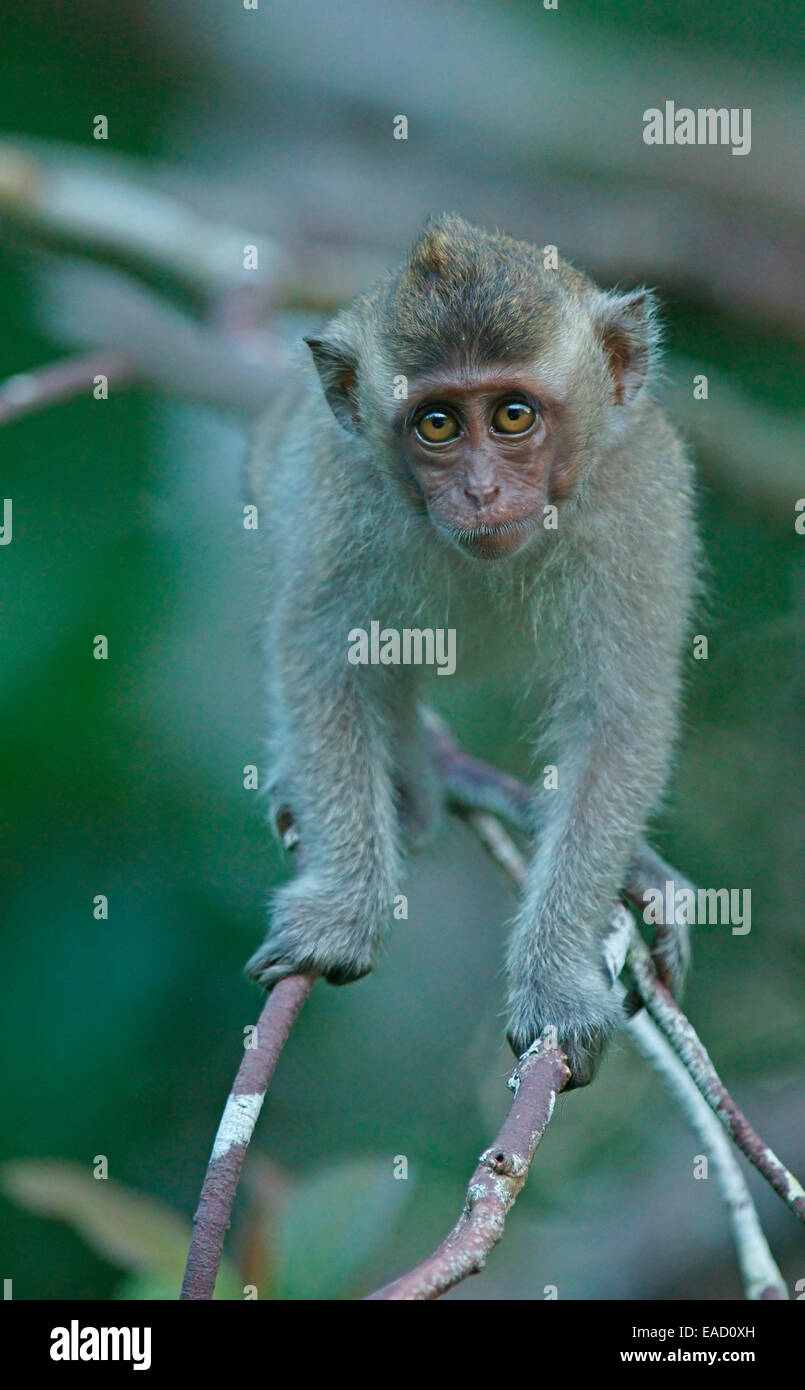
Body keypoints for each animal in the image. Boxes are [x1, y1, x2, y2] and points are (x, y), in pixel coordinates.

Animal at [245, 213, 696, 1088]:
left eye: (513, 416)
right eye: (437, 424)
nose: (480, 492)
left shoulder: (640, 502)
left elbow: (615, 722)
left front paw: (556, 982)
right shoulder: (339, 497)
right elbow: (323, 658)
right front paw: (345, 909)